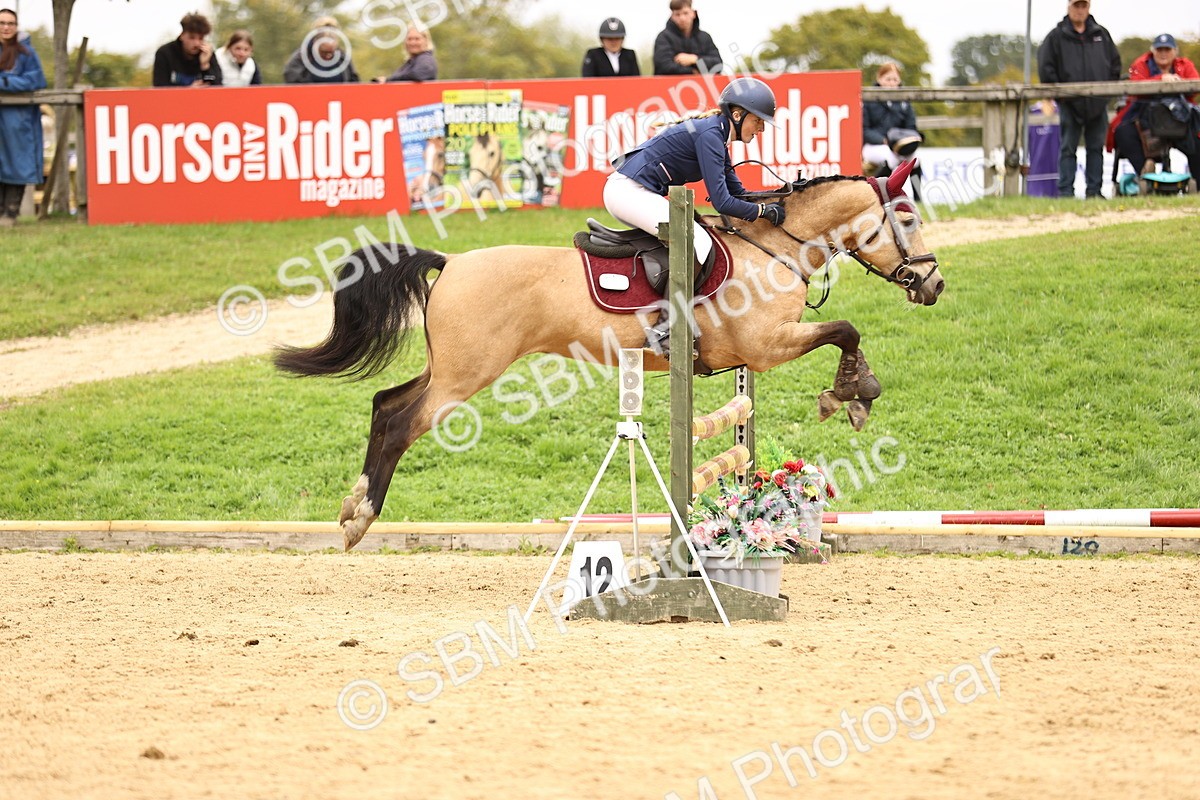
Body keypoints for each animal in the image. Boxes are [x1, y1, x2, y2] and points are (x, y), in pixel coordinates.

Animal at [274, 162, 944, 550]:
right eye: (908, 216)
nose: (934, 285)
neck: (774, 247)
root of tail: (452, 261)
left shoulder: (760, 352)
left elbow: (839, 333)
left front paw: (850, 394)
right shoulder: (765, 346)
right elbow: (847, 329)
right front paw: (852, 395)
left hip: (450, 369)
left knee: (385, 403)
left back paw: (354, 507)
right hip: (465, 376)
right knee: (399, 424)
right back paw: (361, 517)